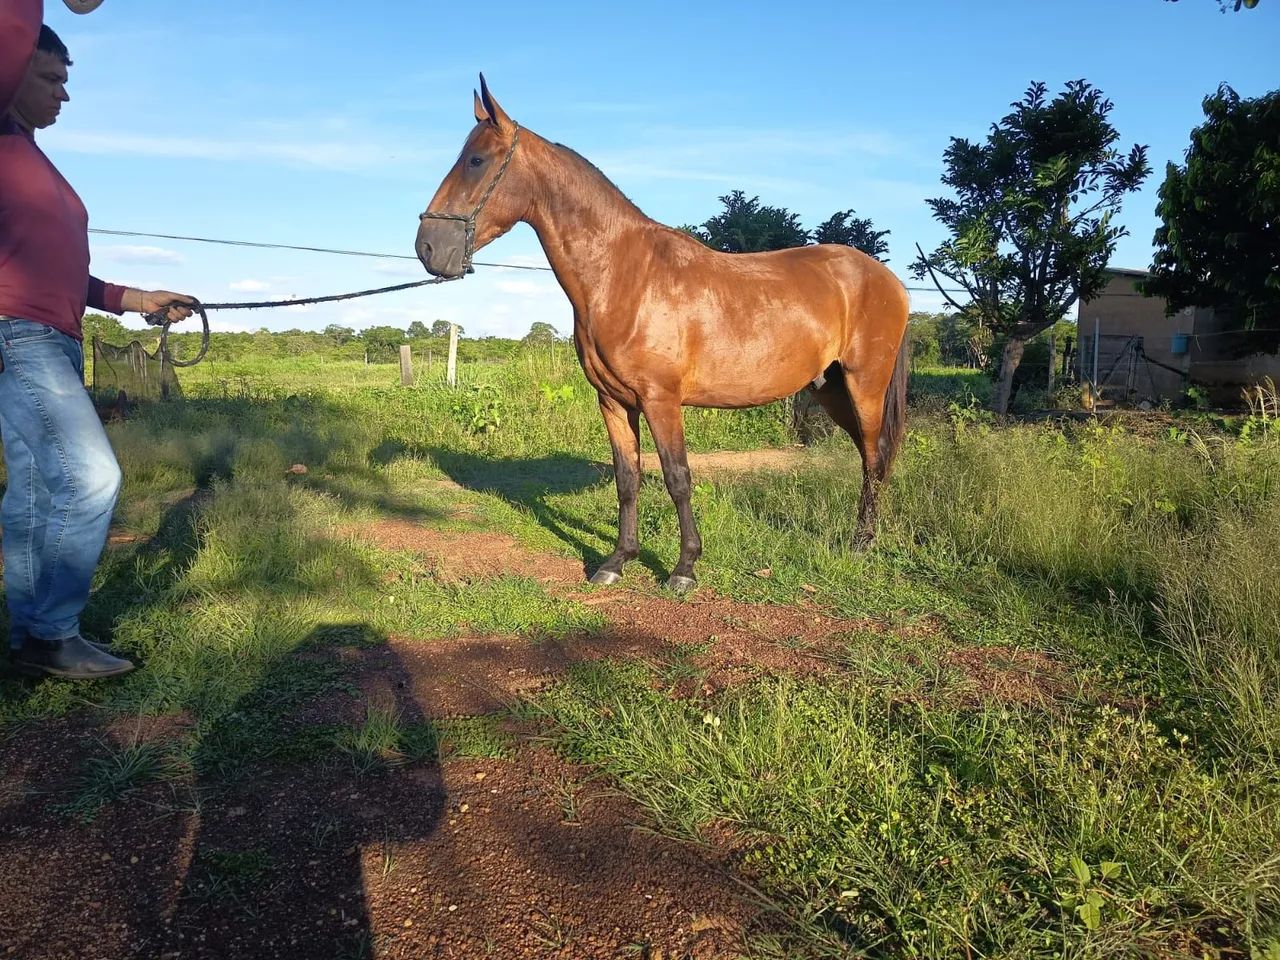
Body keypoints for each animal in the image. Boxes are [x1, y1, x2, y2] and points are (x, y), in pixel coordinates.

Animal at [416, 76, 911, 593]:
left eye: (476, 160)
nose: (428, 247)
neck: (623, 274)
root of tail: (886, 279)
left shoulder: (661, 400)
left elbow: (677, 477)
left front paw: (684, 568)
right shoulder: (613, 401)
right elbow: (627, 478)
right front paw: (617, 561)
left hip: (864, 384)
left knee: (874, 455)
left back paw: (862, 544)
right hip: (829, 388)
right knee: (868, 457)